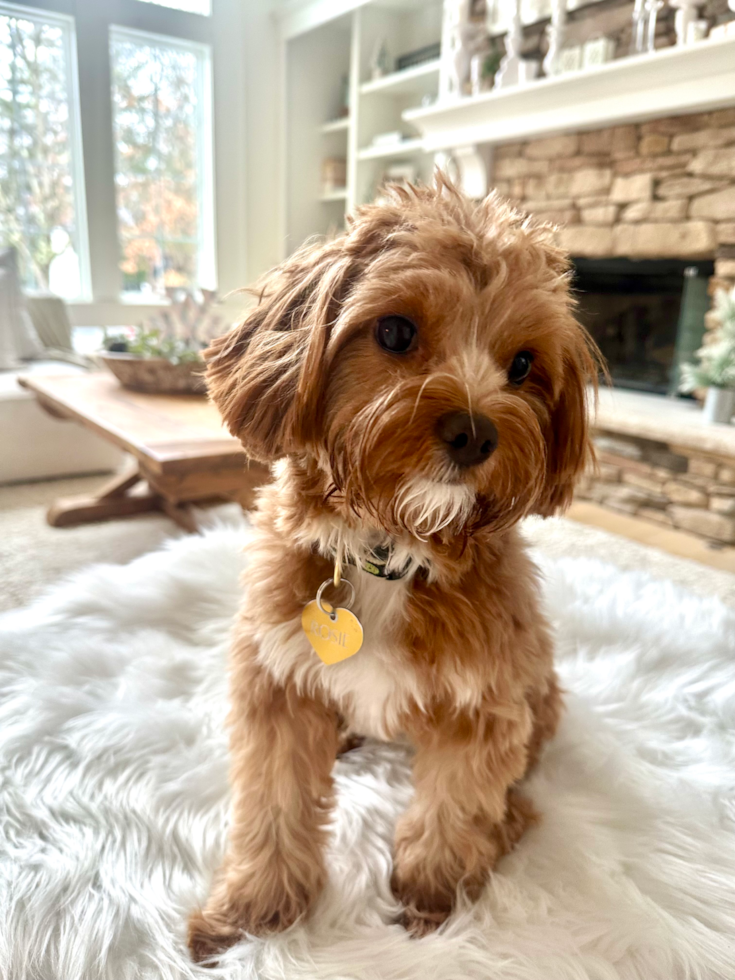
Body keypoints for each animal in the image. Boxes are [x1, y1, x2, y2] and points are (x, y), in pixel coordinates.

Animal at [187, 172, 600, 960]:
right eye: (396, 332)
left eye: (523, 365)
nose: (475, 432)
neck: (390, 550)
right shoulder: (277, 686)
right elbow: (274, 804)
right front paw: (252, 912)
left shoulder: (483, 705)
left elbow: (452, 808)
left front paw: (433, 902)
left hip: (540, 695)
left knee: (509, 790)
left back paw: (505, 826)